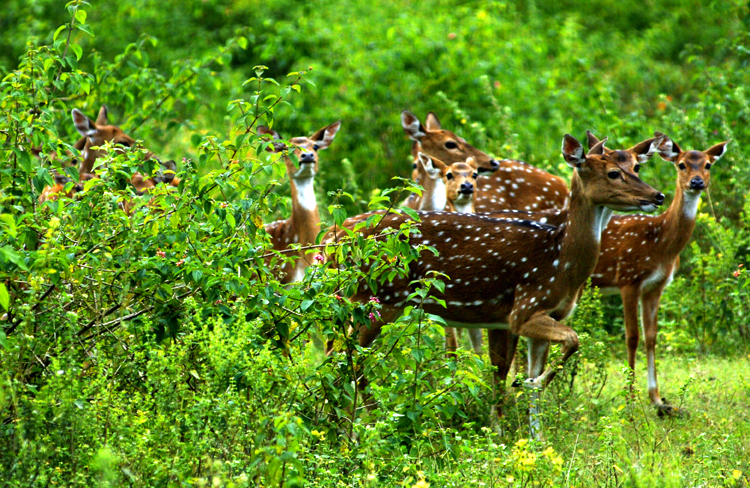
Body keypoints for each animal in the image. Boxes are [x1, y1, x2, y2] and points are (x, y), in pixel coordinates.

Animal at [334, 134, 665, 434]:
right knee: (350, 356)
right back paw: (367, 424)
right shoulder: (524, 309)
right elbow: (572, 340)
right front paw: (523, 392)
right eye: (613, 173)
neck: (561, 260)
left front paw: (535, 437)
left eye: (637, 167)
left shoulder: (541, 315)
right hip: (383, 297)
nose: (657, 195)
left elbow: (530, 373)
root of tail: (345, 240)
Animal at [586, 132, 730, 415]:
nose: (697, 182)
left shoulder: (656, 286)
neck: (660, 243)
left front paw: (656, 399)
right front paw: (630, 398)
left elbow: (651, 338)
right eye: (682, 164)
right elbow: (632, 337)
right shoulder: (628, 279)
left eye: (708, 165)